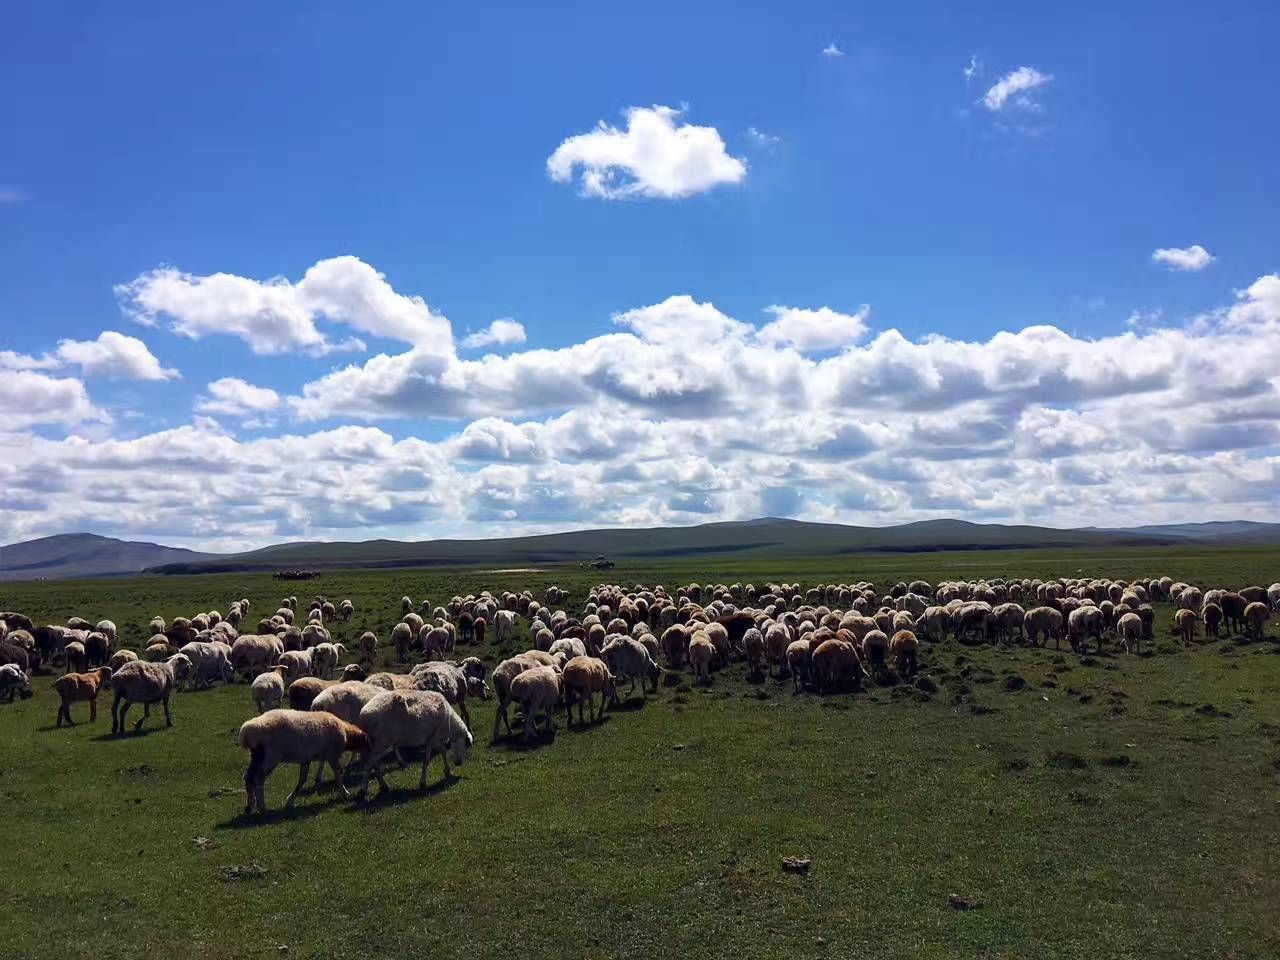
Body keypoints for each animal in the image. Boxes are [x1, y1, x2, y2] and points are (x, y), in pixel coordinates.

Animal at [239, 711, 371, 814]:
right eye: (366, 743)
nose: (368, 757)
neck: (346, 733)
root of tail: (247, 731)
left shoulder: (306, 760)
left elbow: (302, 779)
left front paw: (290, 799)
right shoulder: (332, 756)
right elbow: (338, 774)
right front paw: (345, 794)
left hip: (256, 756)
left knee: (248, 777)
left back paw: (249, 806)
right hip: (271, 756)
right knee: (258, 778)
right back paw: (262, 808)